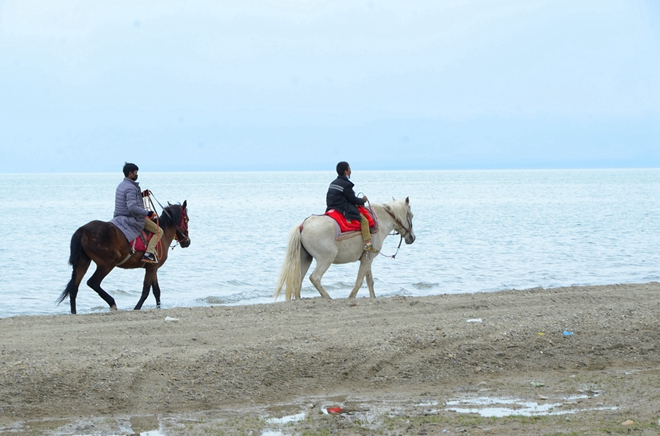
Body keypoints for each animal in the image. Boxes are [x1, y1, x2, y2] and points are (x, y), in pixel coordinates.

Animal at [56, 201, 191, 314]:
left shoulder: (152, 268)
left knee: (74, 287)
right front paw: (137, 308)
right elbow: (146, 291)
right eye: (187, 219)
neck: (161, 235)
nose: (187, 241)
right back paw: (112, 303)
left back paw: (74, 312)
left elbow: (156, 291)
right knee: (93, 282)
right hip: (107, 264)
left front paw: (158, 308)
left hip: (83, 262)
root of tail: (82, 230)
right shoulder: (152, 268)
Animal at [276, 198, 416, 300]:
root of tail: (303, 226)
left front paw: (373, 297)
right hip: (325, 260)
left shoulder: (367, 259)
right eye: (412, 215)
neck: (379, 221)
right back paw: (327, 297)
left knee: (299, 279)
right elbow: (360, 280)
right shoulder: (367, 259)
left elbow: (369, 280)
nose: (412, 238)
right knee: (314, 277)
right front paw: (351, 297)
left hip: (305, 259)